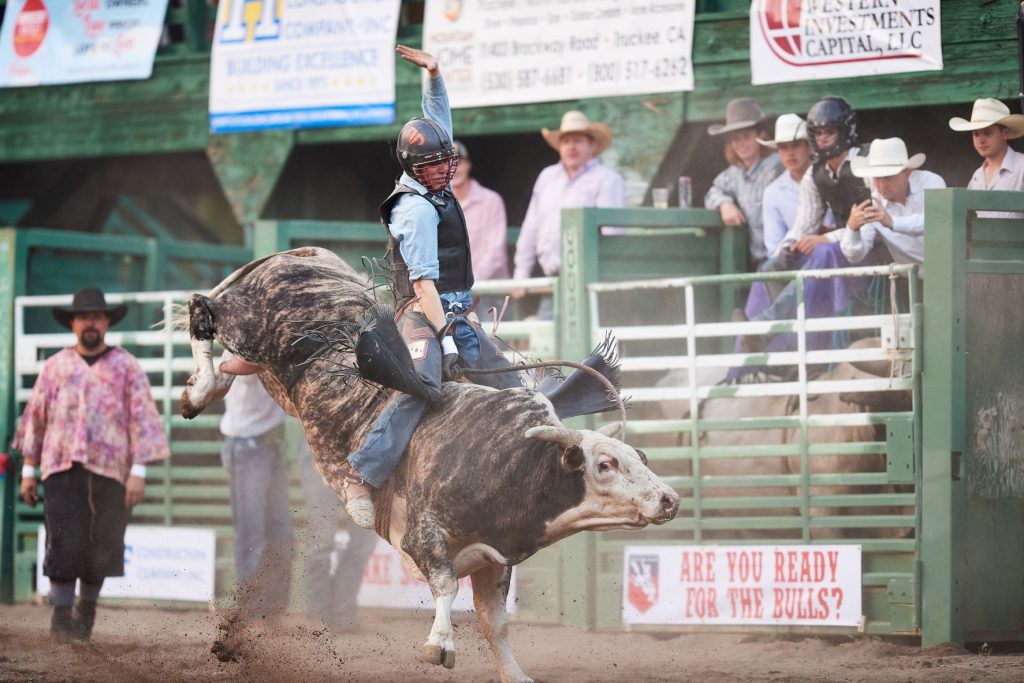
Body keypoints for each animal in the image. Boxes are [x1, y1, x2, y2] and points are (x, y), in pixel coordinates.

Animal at [182, 246, 679, 683]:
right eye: (606, 464)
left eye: (639, 458)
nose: (669, 499)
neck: (507, 458)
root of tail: (304, 256)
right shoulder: (422, 535)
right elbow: (445, 585)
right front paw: (440, 644)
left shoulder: (494, 560)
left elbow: (494, 623)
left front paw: (515, 673)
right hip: (248, 322)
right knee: (201, 308)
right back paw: (199, 385)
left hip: (268, 372)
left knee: (232, 363)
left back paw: (200, 390)